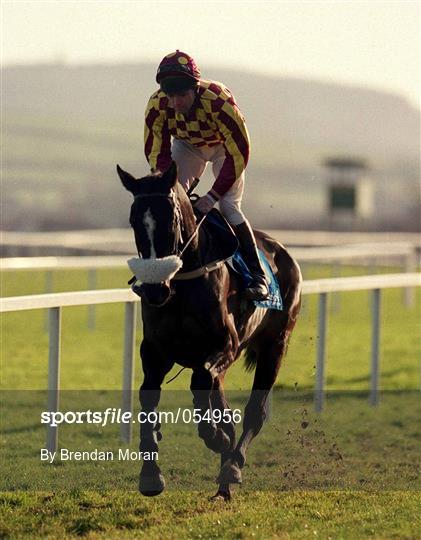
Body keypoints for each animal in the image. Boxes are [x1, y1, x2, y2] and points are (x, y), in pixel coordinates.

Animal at [116, 162, 300, 500]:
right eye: (134, 220)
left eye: (171, 219)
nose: (154, 289)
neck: (181, 285)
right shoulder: (155, 351)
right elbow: (148, 396)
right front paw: (150, 473)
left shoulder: (225, 346)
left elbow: (200, 380)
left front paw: (216, 437)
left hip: (276, 345)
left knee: (254, 411)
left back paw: (232, 466)